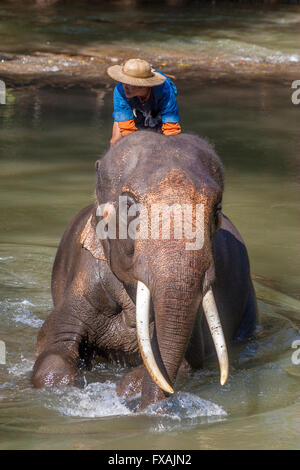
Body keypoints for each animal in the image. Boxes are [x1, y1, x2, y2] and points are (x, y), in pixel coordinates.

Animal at [32, 131, 258, 408]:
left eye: (217, 208)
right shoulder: (83, 280)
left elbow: (183, 364)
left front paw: (130, 391)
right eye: (129, 203)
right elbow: (52, 349)